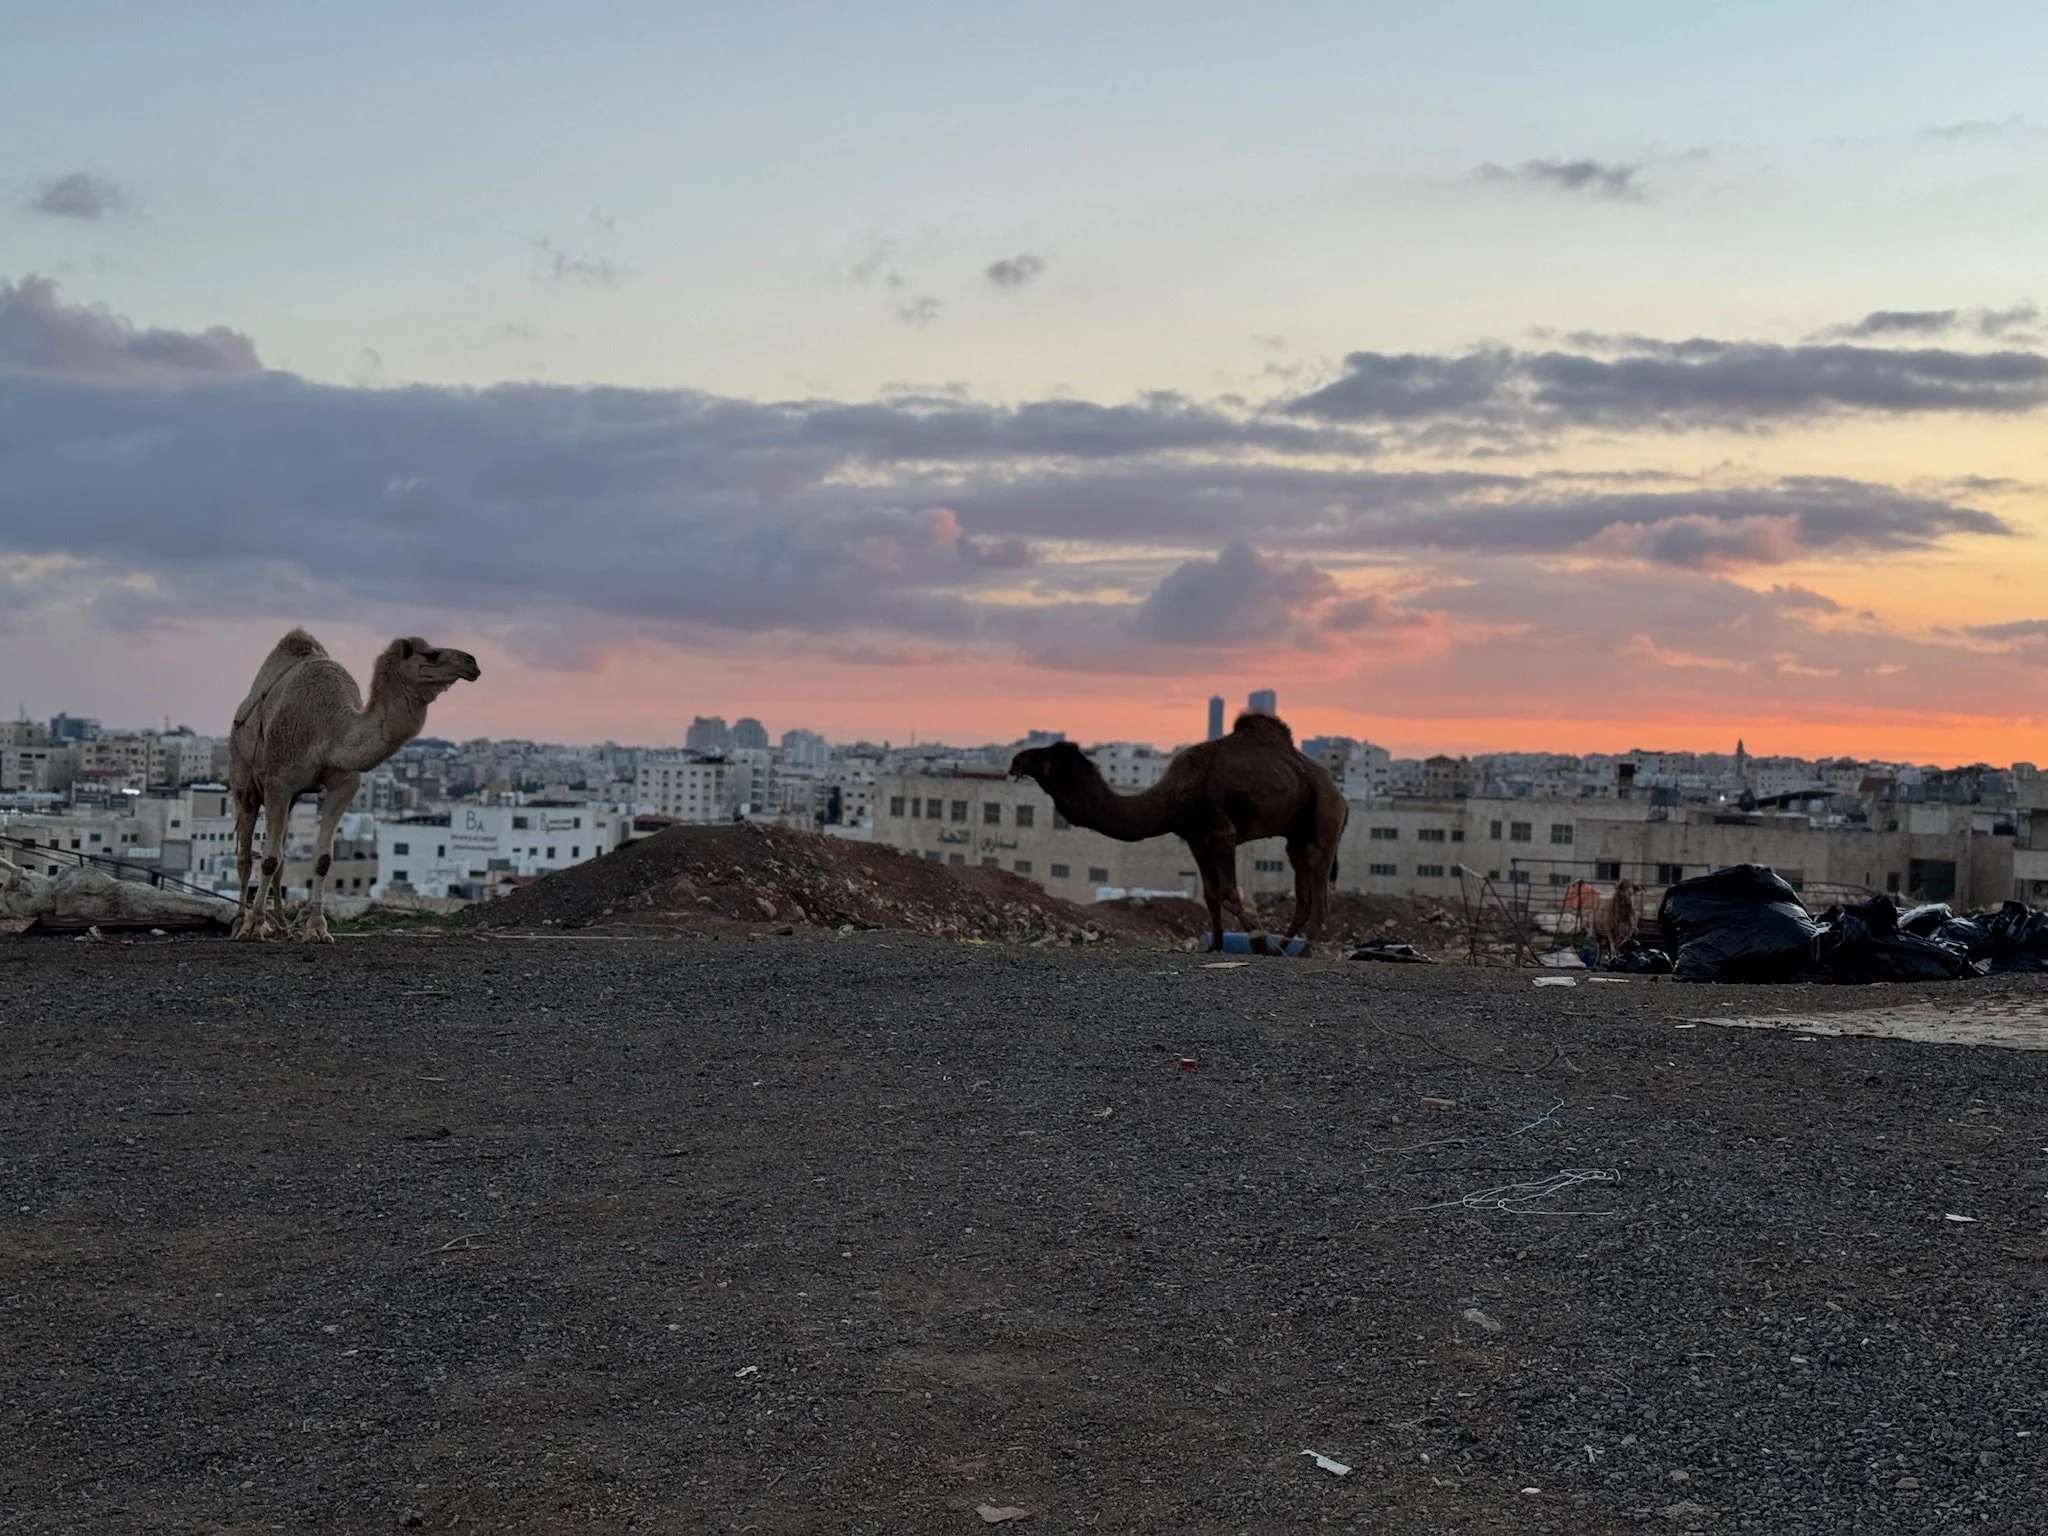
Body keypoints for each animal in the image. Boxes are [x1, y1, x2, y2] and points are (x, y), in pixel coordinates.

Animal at [228, 629, 479, 942]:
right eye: (431, 654)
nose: (472, 663)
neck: (330, 728)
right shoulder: (279, 782)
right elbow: (268, 858)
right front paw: (253, 926)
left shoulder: (343, 784)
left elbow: (322, 858)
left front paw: (317, 929)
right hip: (243, 777)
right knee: (246, 855)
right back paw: (240, 923)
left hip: (294, 797)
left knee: (280, 857)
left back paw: (282, 926)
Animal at [1010, 711, 1348, 955]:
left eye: (1044, 758)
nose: (1016, 761)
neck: (1170, 798)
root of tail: (1342, 797)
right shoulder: (1196, 838)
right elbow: (1211, 895)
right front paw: (1215, 946)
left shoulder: (1222, 832)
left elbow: (1228, 893)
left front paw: (1258, 940)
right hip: (1297, 836)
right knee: (1303, 895)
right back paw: (1283, 949)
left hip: (1324, 818)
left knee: (1320, 893)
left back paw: (1301, 950)